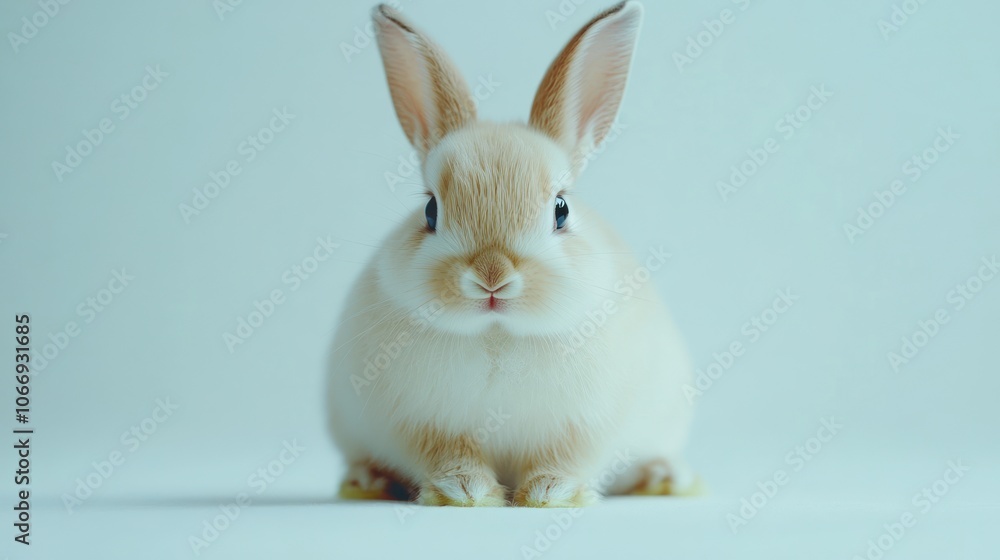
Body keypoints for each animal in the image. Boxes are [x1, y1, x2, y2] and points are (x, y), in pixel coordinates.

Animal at [327, 1, 696, 507]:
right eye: (430, 210)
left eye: (561, 209)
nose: (491, 276)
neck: (496, 334)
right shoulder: (422, 424)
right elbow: (447, 454)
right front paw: (465, 492)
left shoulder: (585, 426)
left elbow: (567, 458)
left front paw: (549, 493)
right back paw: (365, 482)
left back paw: (666, 479)